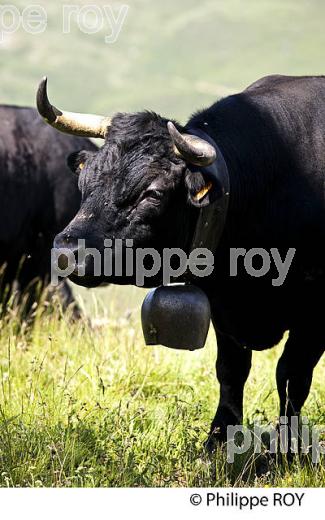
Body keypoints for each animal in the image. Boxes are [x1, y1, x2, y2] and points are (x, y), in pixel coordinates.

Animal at [37, 75, 322, 448]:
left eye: (153, 193)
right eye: (84, 181)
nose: (67, 251)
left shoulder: (314, 317)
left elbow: (292, 376)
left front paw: (287, 447)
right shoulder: (223, 311)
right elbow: (231, 371)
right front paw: (218, 441)